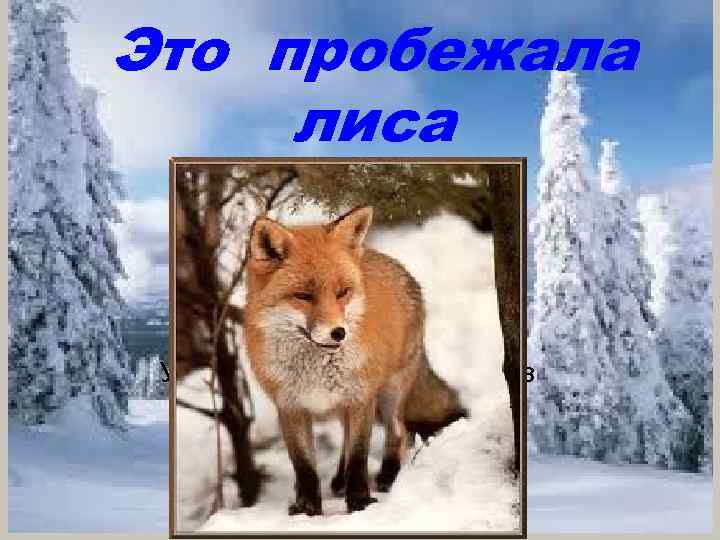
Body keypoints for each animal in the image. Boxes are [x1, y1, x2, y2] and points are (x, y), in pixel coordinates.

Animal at [244, 206, 466, 516]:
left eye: (342, 292)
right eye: (303, 296)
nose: (339, 332)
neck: (316, 367)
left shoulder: (361, 398)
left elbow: (359, 455)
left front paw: (359, 501)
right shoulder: (290, 406)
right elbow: (304, 465)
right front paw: (307, 507)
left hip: (390, 393)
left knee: (400, 433)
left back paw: (387, 477)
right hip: (346, 404)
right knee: (349, 441)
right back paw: (339, 481)